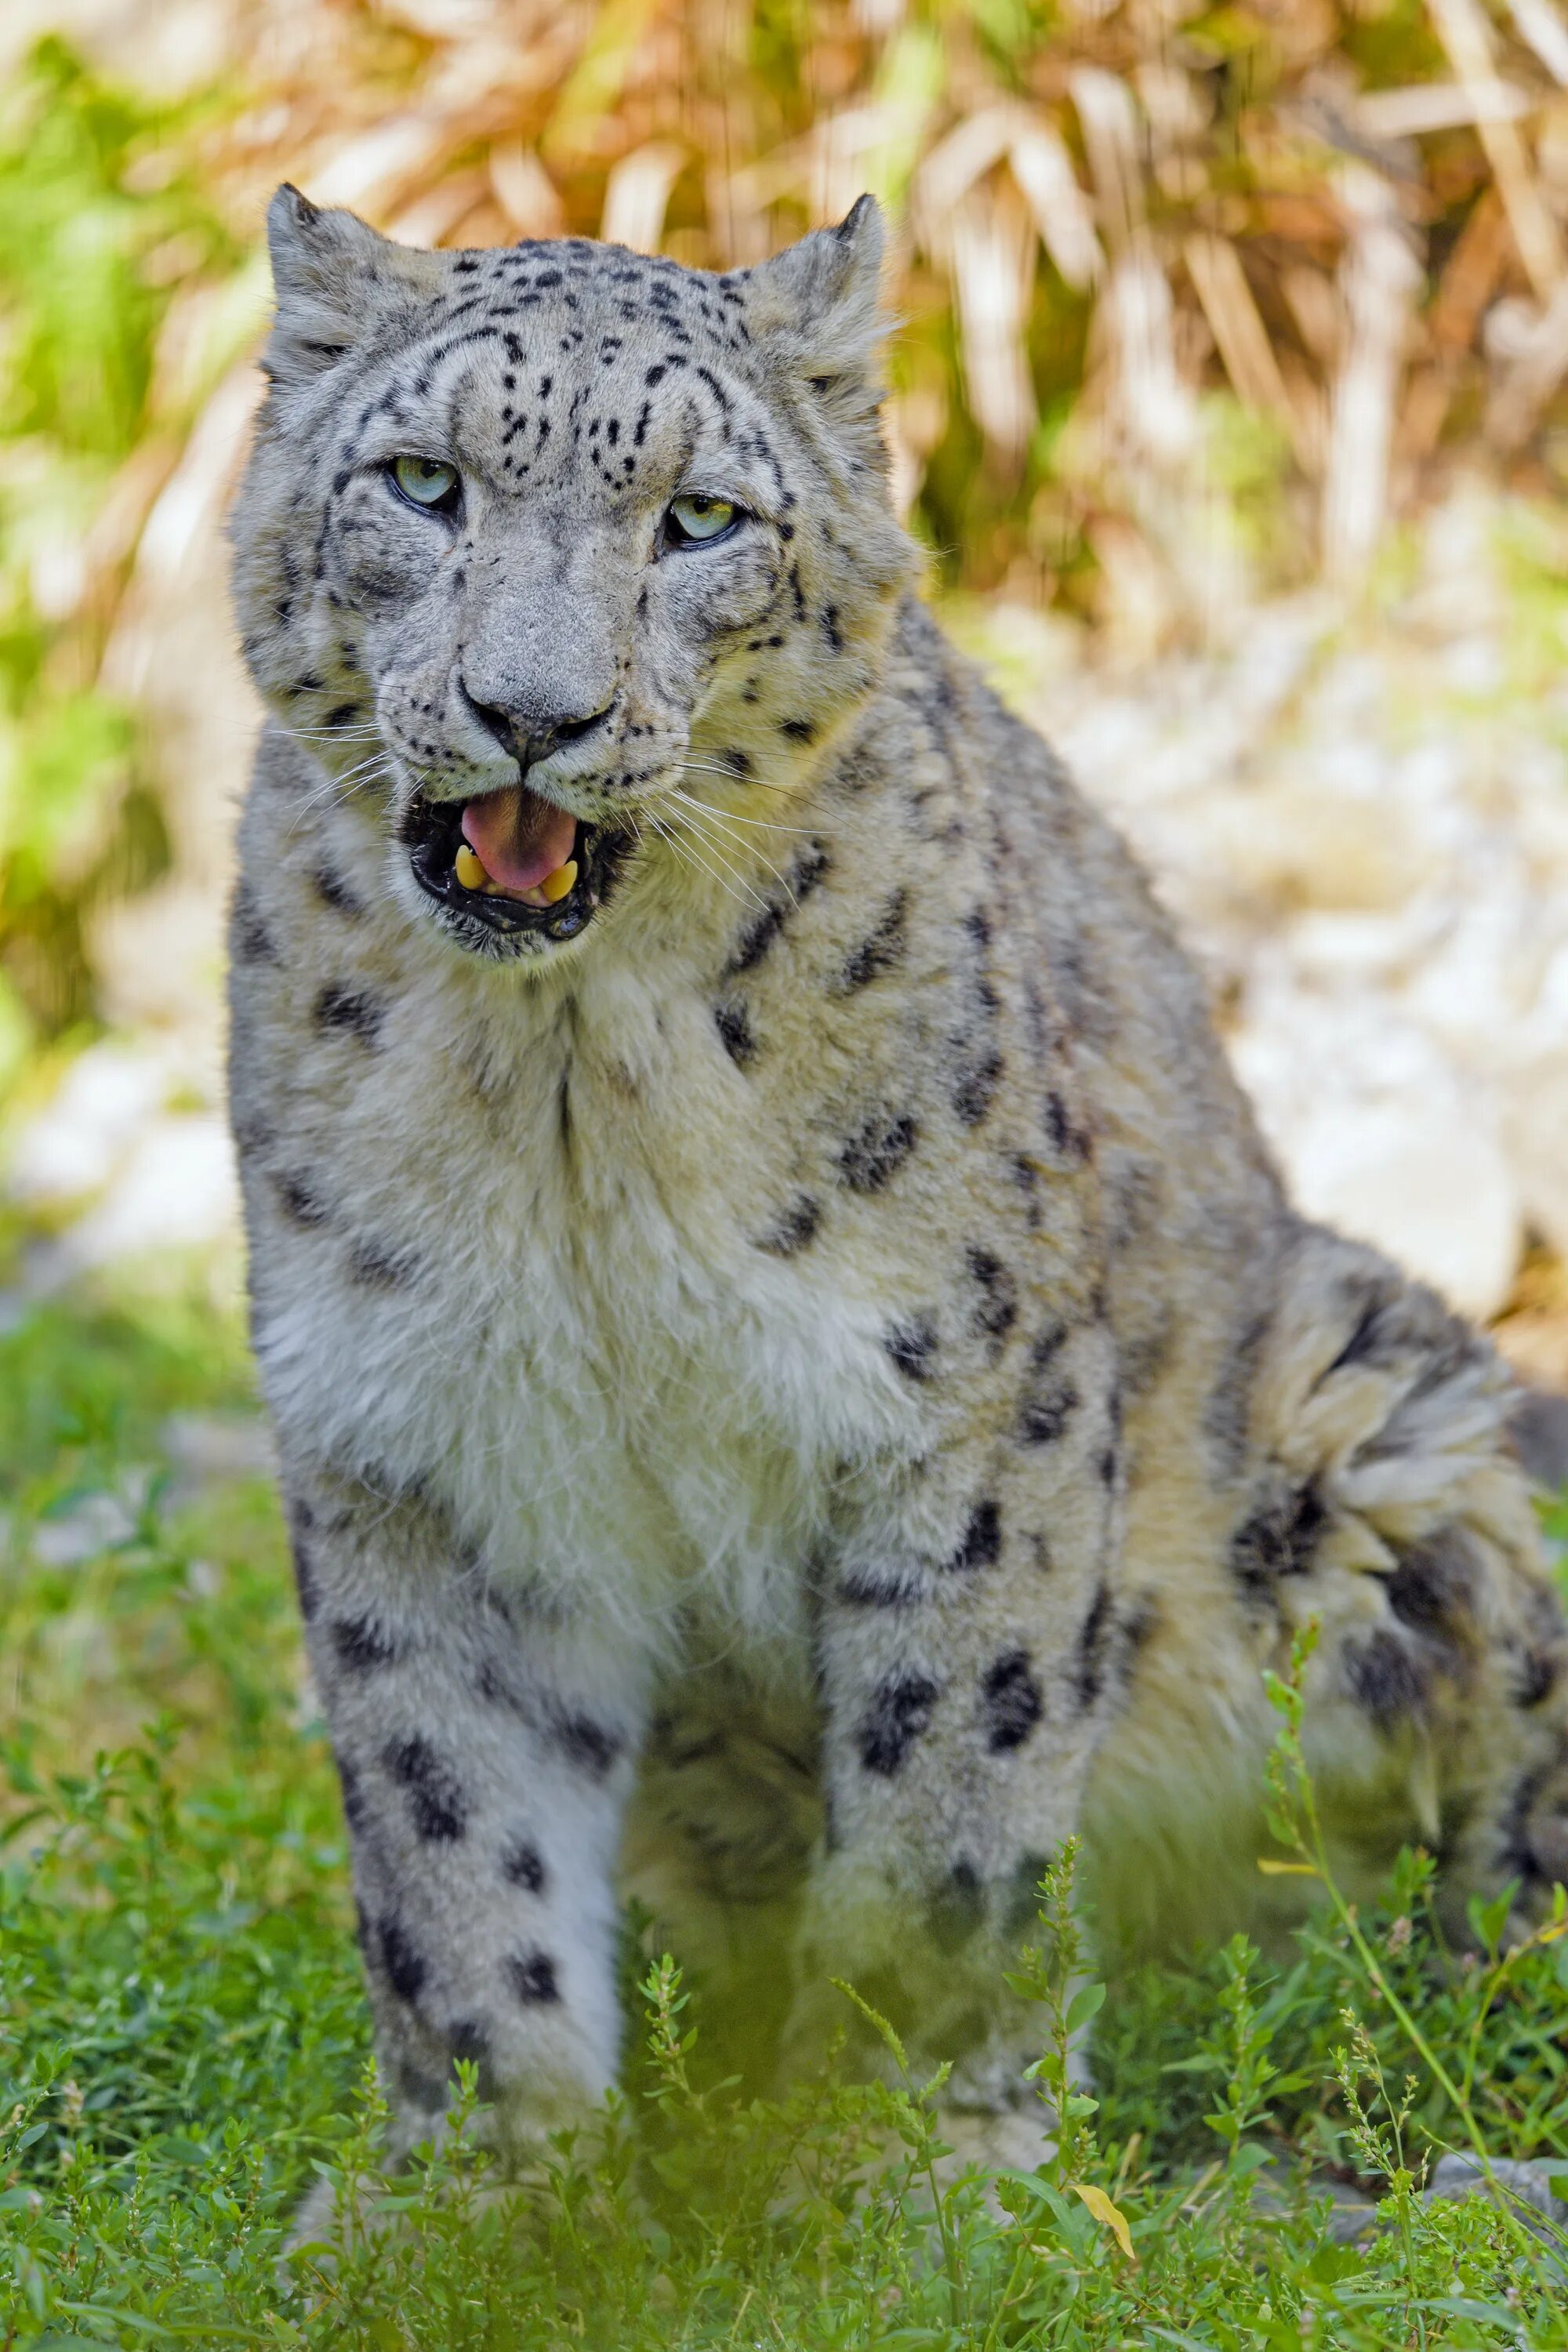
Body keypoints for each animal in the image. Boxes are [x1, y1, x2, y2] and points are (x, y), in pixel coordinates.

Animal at [223, 183, 1568, 2183]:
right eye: (420, 482)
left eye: (701, 518)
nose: (529, 712)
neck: (565, 1097)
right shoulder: (419, 1434)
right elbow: (452, 1828)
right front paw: (490, 2177)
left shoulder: (962, 1395)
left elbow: (949, 1778)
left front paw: (908, 2152)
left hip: (1376, 1430)